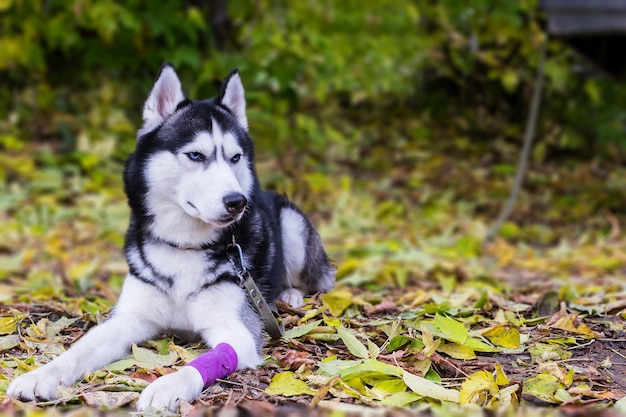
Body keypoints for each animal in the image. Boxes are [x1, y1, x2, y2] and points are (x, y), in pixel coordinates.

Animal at [7, 64, 334, 410]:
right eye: (196, 155)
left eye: (235, 158)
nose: (238, 201)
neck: (185, 246)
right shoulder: (130, 318)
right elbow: (81, 348)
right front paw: (41, 375)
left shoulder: (238, 330)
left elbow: (205, 361)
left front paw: (167, 386)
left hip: (292, 226)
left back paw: (291, 295)